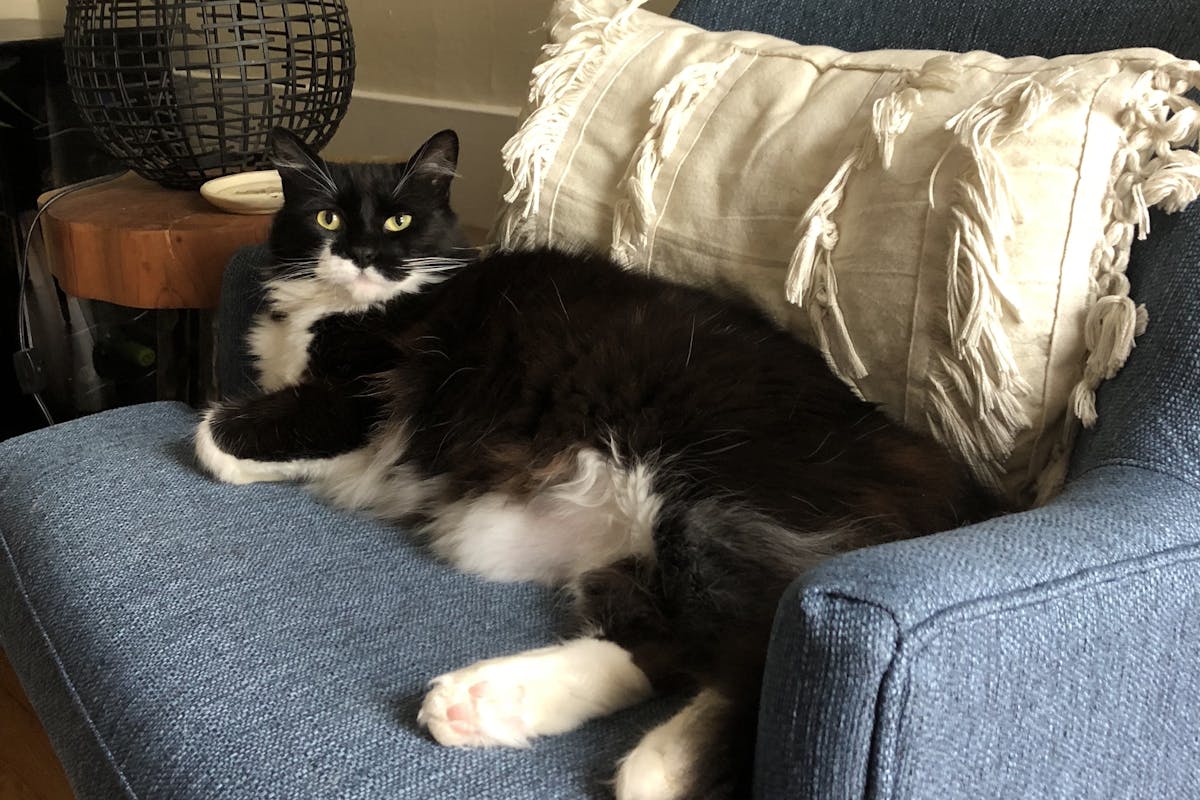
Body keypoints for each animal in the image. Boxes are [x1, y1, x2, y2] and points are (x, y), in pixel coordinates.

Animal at [196, 128, 1003, 800]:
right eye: (328, 221)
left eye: (398, 223)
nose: (365, 256)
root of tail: (944, 475)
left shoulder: (358, 398)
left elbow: (213, 437)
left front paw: (230, 444)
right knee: (663, 646)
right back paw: (500, 712)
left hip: (707, 498)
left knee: (737, 645)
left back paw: (645, 763)